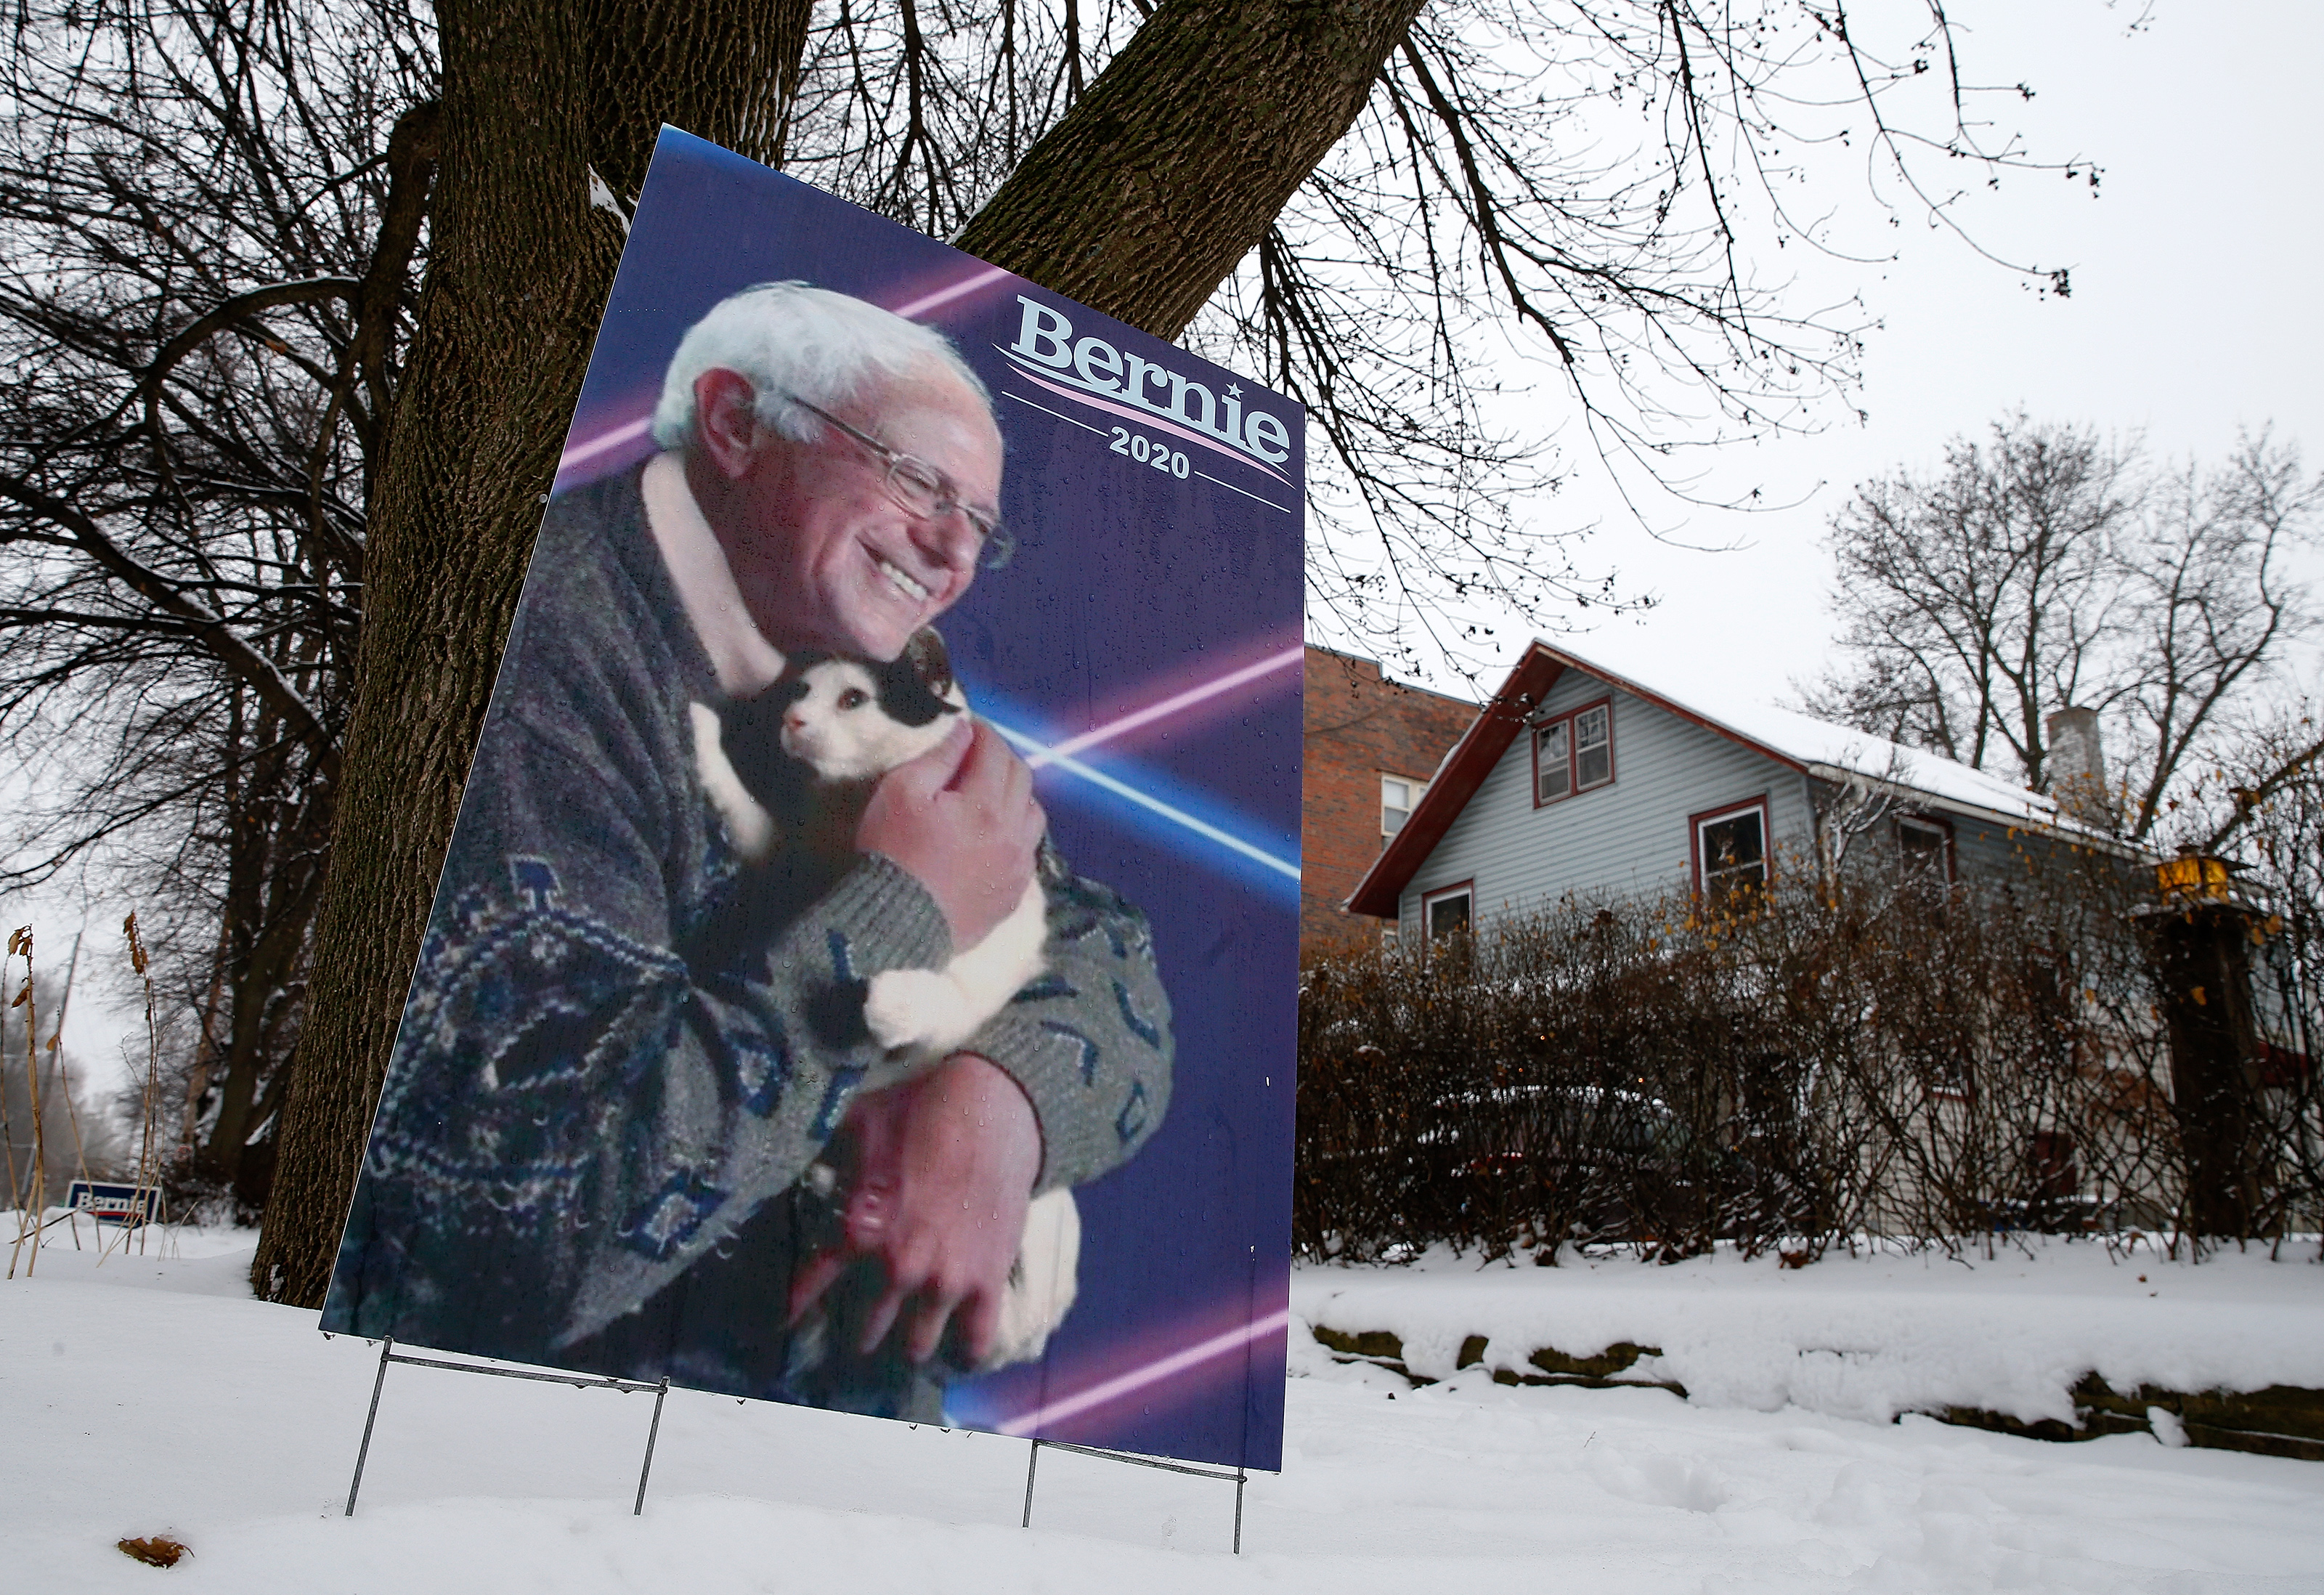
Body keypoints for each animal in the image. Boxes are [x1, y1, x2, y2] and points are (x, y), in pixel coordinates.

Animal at [688, 632, 1078, 1376]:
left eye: (853, 699)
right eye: (803, 692)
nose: (794, 721)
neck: (852, 808)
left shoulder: (969, 996)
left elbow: (941, 1004)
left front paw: (887, 1001)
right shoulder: (784, 862)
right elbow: (749, 814)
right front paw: (703, 734)